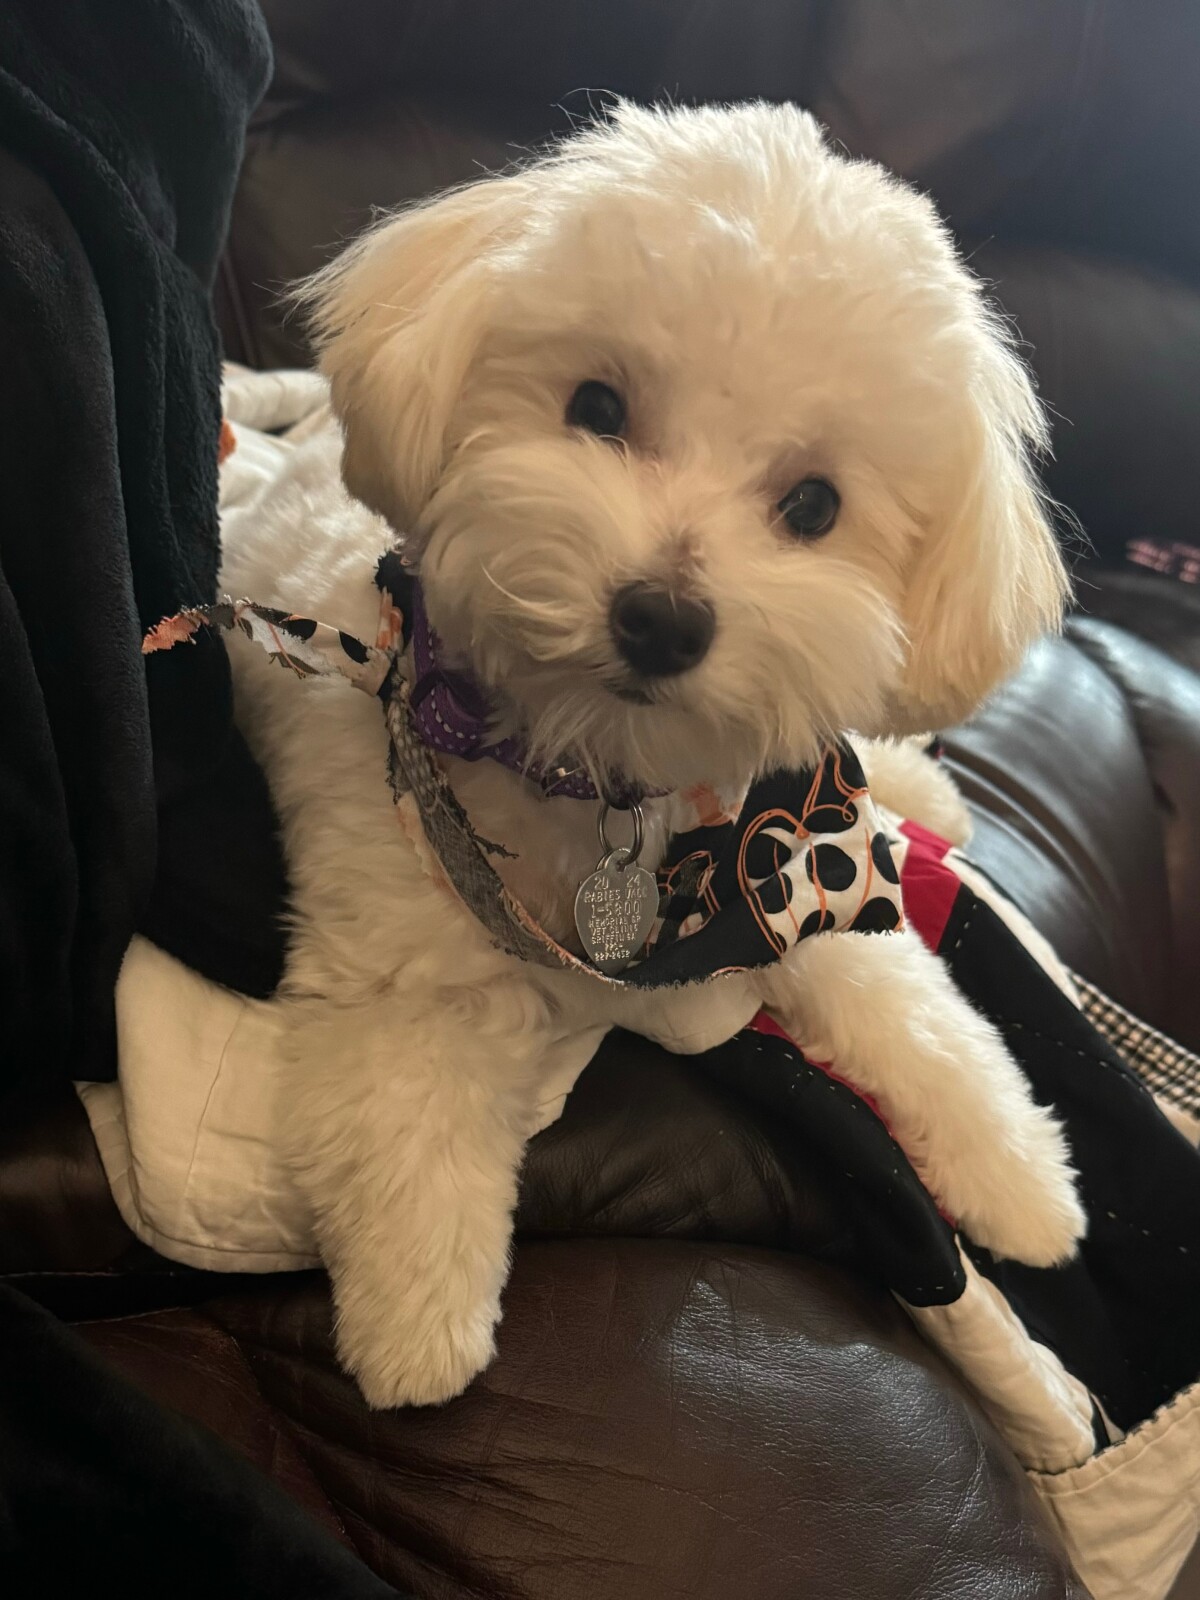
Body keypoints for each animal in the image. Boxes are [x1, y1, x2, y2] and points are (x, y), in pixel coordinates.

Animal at [219, 101, 1084, 1409]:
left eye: (816, 505)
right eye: (596, 405)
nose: (663, 619)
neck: (599, 771)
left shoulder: (802, 878)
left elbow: (918, 1013)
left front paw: (1022, 1175)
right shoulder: (402, 960)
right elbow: (407, 1127)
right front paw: (417, 1335)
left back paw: (926, 782)